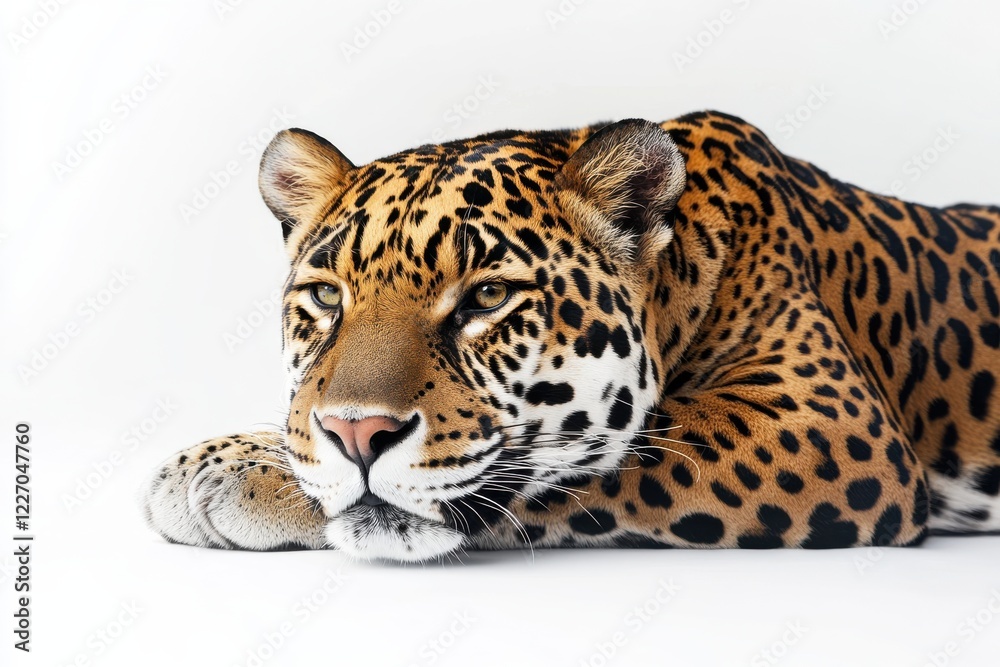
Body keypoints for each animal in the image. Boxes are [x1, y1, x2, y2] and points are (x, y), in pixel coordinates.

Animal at [140, 110, 1000, 562]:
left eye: (487, 296)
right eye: (325, 296)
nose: (358, 433)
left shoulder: (829, 419)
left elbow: (579, 458)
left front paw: (247, 473)